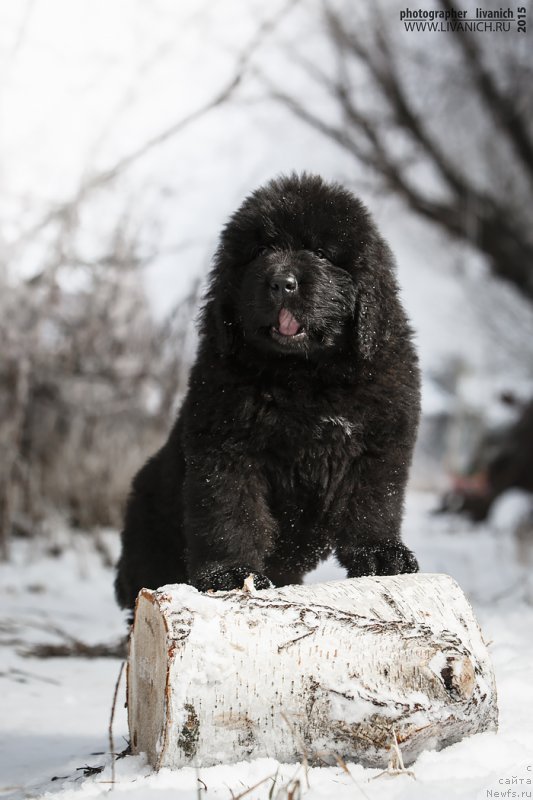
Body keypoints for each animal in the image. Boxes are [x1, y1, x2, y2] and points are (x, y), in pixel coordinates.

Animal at [115, 172, 420, 608]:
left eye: (321, 252)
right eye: (260, 250)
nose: (281, 282)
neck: (306, 374)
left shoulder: (380, 438)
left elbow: (374, 502)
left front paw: (381, 555)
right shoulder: (227, 444)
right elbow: (230, 511)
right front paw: (230, 574)